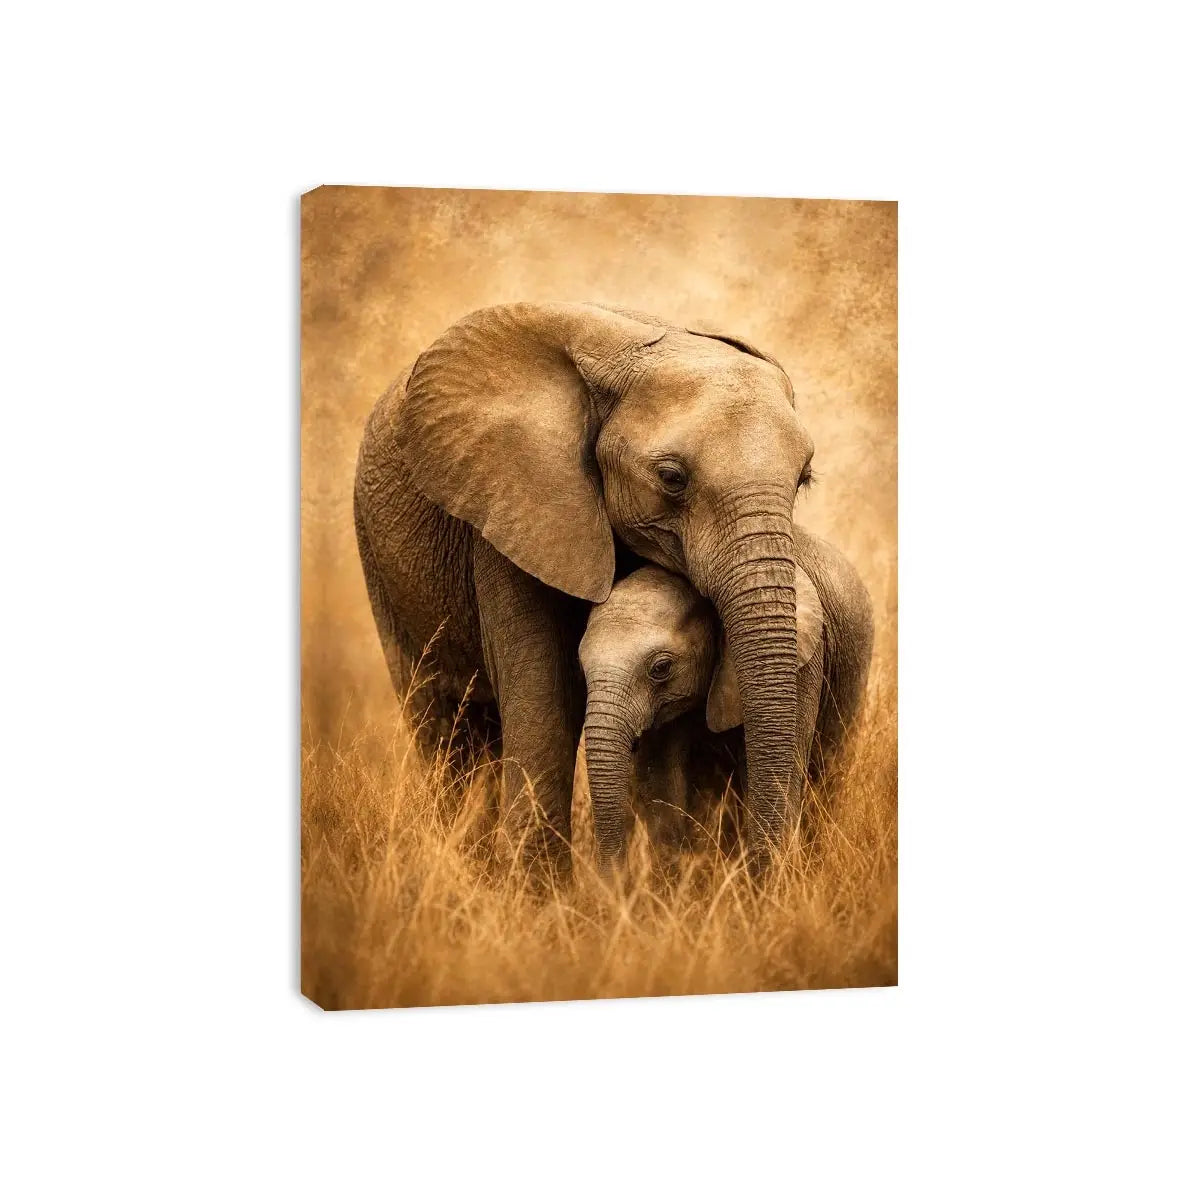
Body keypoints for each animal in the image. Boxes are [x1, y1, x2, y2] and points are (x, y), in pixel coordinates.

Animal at [353, 302, 814, 873]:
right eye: (672, 478)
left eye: (804, 479)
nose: (760, 873)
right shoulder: (515, 503)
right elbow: (545, 698)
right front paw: (541, 892)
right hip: (378, 559)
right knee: (441, 725)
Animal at [577, 525, 874, 869]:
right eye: (580, 667)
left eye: (661, 668)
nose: (614, 877)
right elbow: (663, 786)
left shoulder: (803, 663)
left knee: (826, 779)